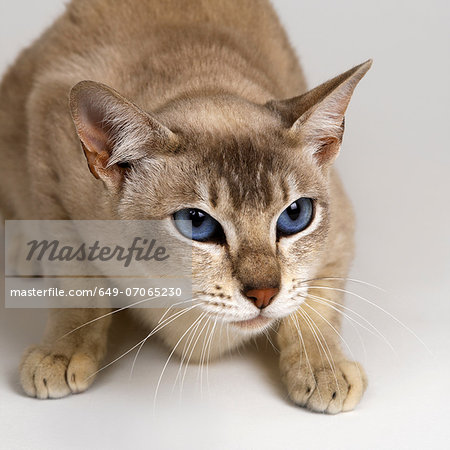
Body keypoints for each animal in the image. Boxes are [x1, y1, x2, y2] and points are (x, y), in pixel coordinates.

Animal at [0, 0, 370, 414]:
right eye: (197, 223)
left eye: (295, 216)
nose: (263, 296)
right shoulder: (50, 166)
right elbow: (78, 284)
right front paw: (62, 352)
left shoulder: (341, 228)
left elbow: (316, 301)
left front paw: (324, 367)